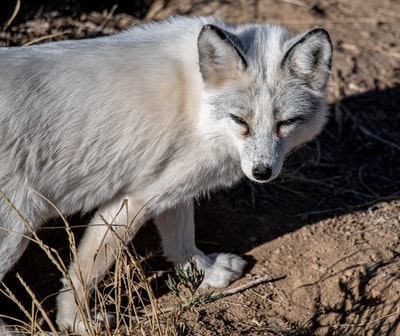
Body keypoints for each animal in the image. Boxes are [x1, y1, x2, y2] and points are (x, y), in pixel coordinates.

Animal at [0, 16, 332, 334]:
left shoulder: (171, 189)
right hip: (16, 230)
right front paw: (74, 322)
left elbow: (181, 242)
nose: (261, 172)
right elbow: (84, 274)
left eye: (285, 123)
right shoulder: (134, 200)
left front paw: (206, 272)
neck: (196, 104)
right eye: (240, 121)